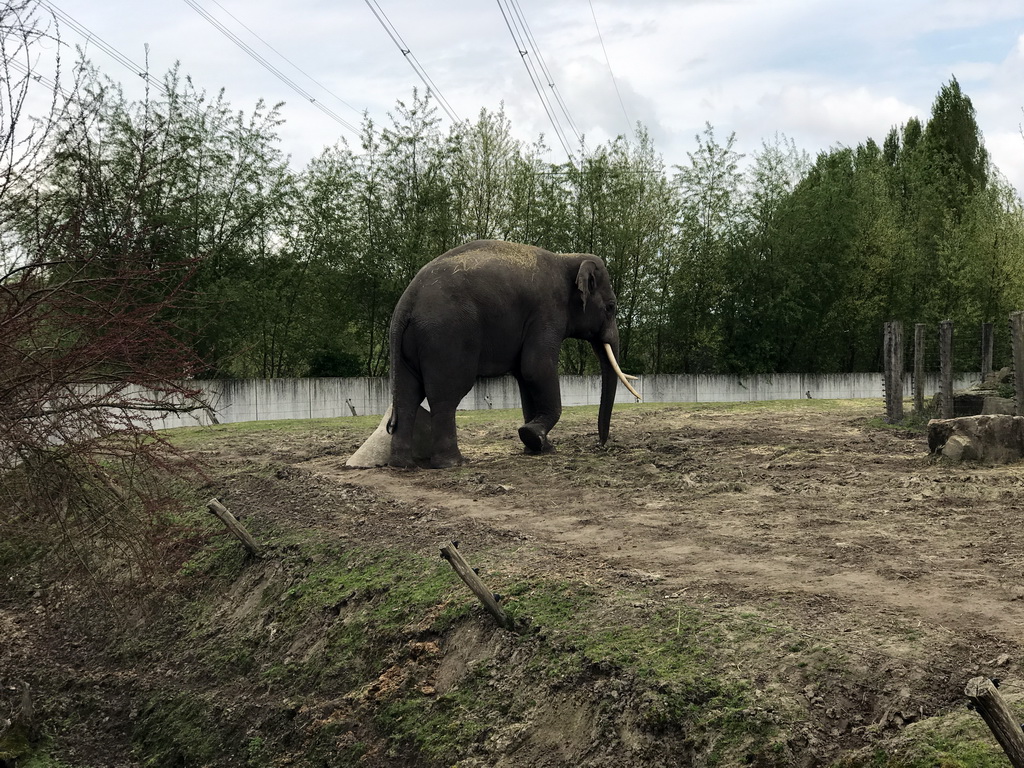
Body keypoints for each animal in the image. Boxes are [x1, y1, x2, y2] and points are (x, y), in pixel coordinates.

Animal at [385, 240, 638, 468]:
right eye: (611, 307)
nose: (601, 446)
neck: (567, 259)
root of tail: (406, 303)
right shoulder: (546, 312)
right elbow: (537, 368)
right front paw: (531, 436)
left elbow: (525, 378)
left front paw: (541, 448)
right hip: (447, 337)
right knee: (446, 395)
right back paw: (454, 463)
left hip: (410, 346)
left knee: (407, 396)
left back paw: (402, 465)